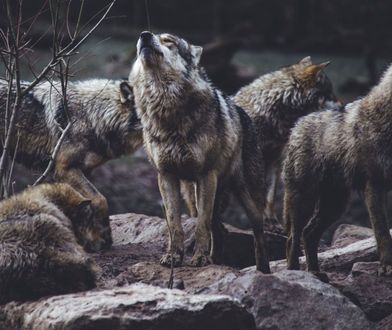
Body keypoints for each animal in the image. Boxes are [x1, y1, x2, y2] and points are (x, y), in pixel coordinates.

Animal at [130, 31, 272, 274]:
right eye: (149, 35)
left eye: (169, 40)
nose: (144, 35)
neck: (167, 109)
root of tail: (242, 112)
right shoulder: (166, 176)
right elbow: (174, 224)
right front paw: (174, 256)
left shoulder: (206, 175)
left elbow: (200, 226)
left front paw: (199, 258)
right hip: (201, 194)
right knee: (220, 230)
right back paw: (216, 260)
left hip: (246, 197)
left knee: (258, 233)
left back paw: (263, 270)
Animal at [282, 62, 392, 278]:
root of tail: (296, 126)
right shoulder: (374, 185)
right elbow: (382, 232)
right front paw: (387, 266)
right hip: (305, 201)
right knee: (293, 237)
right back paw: (295, 273)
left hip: (334, 206)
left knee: (309, 234)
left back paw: (315, 272)